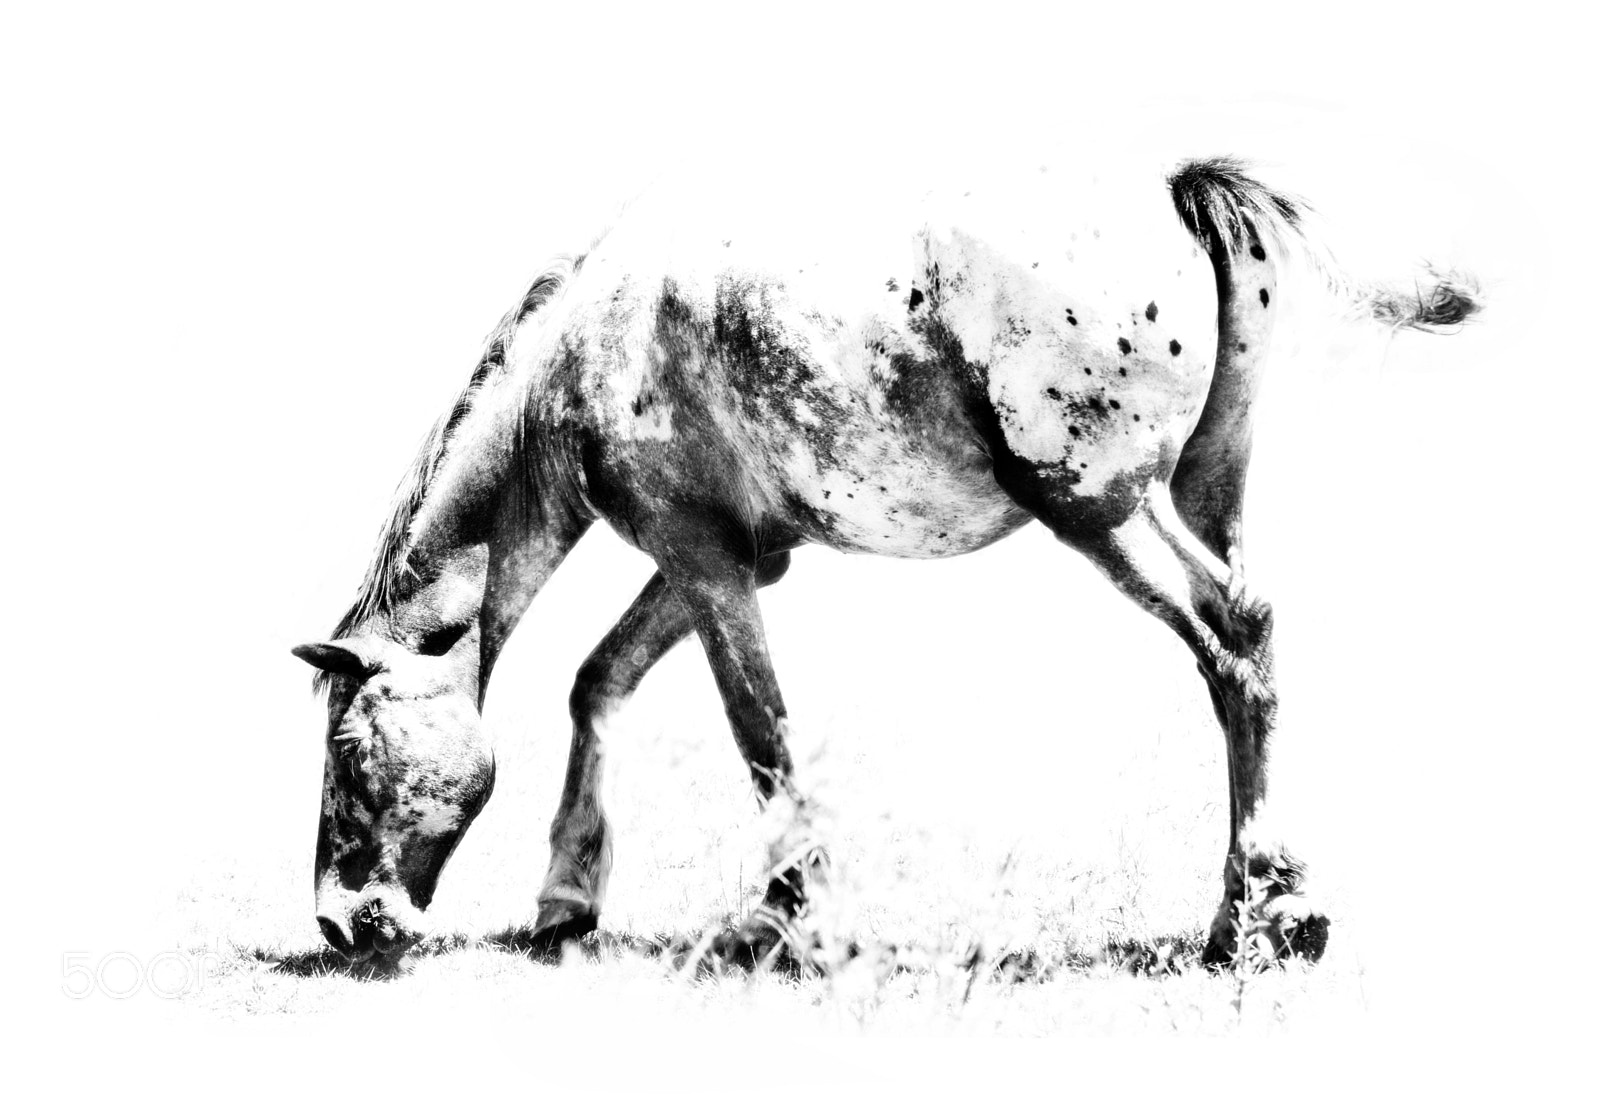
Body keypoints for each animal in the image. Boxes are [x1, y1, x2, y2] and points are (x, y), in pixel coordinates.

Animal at [293, 156, 1478, 968]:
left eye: (348, 754)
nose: (342, 924)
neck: (598, 340)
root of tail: (1173, 201)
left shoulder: (705, 560)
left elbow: (761, 734)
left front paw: (789, 919)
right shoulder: (730, 557)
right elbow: (600, 685)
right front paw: (566, 900)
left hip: (1102, 514)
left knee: (1236, 639)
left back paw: (1261, 914)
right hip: (1195, 496)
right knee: (1248, 662)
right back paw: (1257, 909)